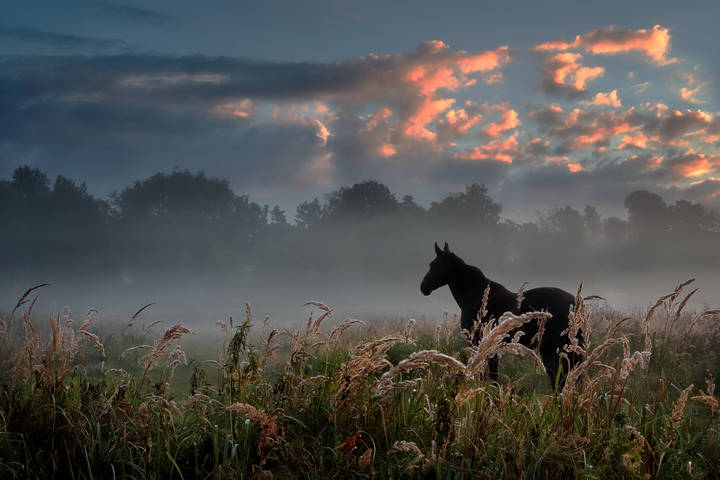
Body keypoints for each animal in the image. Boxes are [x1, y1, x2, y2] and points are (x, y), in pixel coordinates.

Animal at [422, 242, 580, 388]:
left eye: (434, 264)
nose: (423, 287)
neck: (477, 297)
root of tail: (574, 302)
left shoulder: (478, 344)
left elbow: (488, 377)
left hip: (549, 350)